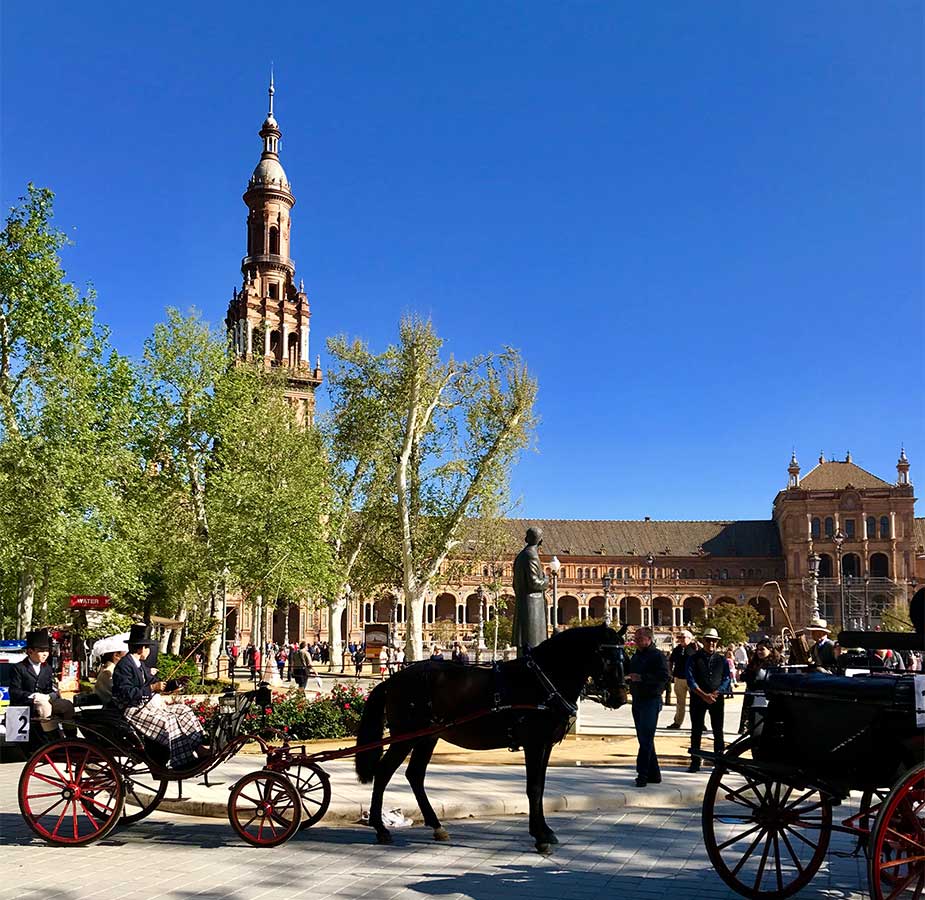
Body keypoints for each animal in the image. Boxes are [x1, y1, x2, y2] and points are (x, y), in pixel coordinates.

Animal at [354, 624, 628, 852]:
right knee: (384, 772)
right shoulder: (534, 742)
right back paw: (381, 829)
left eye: (625, 657)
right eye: (606, 658)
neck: (543, 680)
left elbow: (541, 786)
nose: (620, 698)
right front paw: (539, 836)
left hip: (427, 737)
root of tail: (392, 680)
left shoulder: (546, 744)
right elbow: (533, 787)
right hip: (405, 736)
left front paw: (545, 830)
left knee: (415, 774)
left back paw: (437, 826)